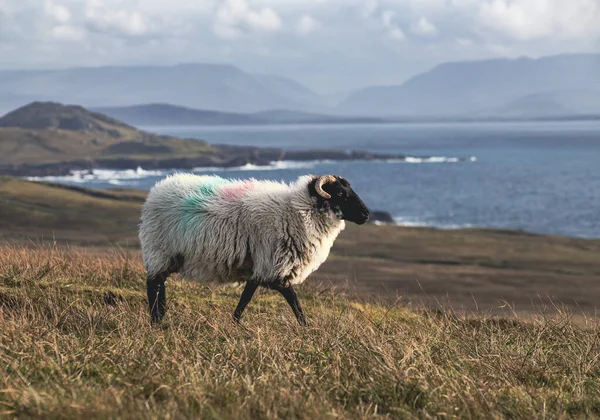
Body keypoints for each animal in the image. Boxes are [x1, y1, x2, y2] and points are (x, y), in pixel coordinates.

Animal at [139, 173, 370, 324]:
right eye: (340, 193)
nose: (367, 214)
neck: (297, 212)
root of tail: (156, 190)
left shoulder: (261, 268)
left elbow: (246, 297)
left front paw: (234, 322)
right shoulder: (273, 268)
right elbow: (293, 300)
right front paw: (306, 328)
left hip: (171, 256)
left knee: (160, 285)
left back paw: (161, 317)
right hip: (159, 249)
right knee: (153, 285)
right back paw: (155, 321)